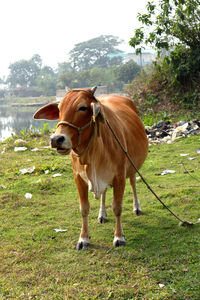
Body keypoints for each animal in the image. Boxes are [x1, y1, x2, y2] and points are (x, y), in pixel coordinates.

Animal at [33, 87, 148, 251]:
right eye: (59, 109)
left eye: (82, 108)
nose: (56, 139)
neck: (94, 150)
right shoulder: (78, 178)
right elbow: (84, 208)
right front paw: (83, 239)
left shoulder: (119, 176)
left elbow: (117, 207)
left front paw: (119, 237)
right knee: (104, 192)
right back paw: (102, 215)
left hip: (132, 166)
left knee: (133, 183)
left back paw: (136, 208)